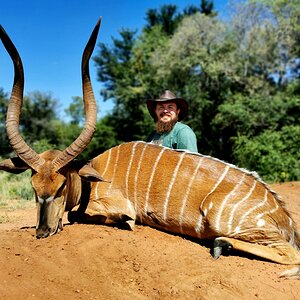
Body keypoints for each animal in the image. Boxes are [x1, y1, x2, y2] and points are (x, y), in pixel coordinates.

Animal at [0, 20, 300, 278]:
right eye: (33, 187)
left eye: (61, 186)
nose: (42, 231)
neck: (92, 177)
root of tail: (284, 217)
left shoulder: (114, 205)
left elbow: (84, 215)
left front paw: (123, 222)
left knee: (290, 254)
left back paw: (220, 245)